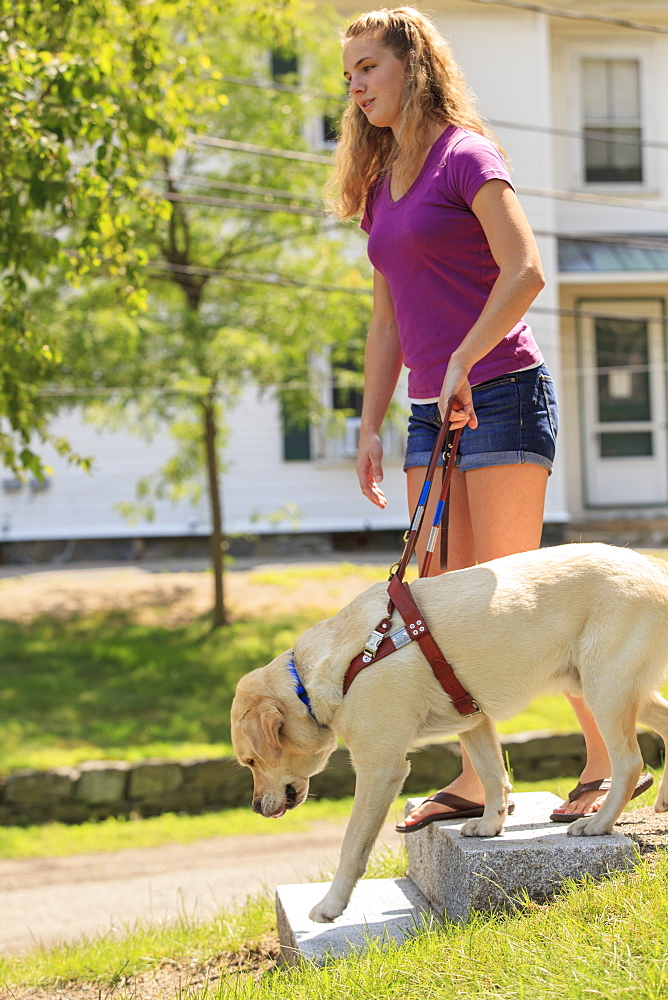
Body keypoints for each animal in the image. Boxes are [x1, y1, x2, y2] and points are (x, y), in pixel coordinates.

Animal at [231, 548, 668, 920]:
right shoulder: (473, 721)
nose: (254, 808)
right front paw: (490, 825)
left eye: (251, 761)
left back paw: (599, 822)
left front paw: (331, 905)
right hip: (617, 690)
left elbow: (352, 845)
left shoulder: (380, 769)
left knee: (629, 763)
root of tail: (653, 566)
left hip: (603, 689)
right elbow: (494, 777)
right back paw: (663, 801)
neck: (317, 676)